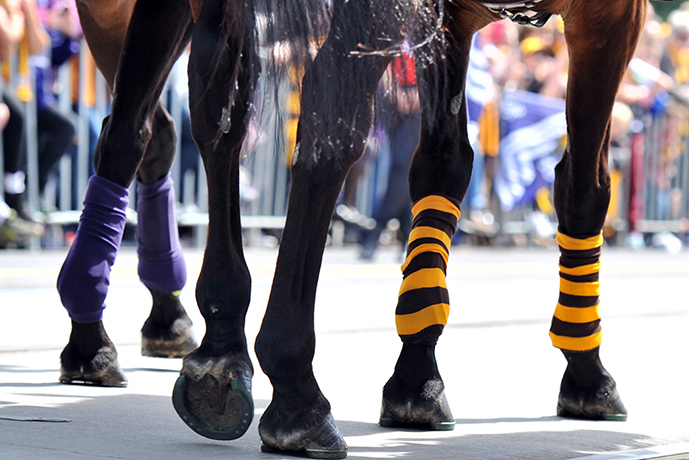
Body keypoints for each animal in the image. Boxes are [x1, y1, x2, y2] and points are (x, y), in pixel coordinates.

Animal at [57, 0, 656, 456]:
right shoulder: (612, 14)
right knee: (310, 121)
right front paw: (587, 371)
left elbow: (443, 165)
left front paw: (416, 376)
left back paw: (193, 338)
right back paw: (292, 392)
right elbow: (583, 187)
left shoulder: (449, 19)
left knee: (176, 121)